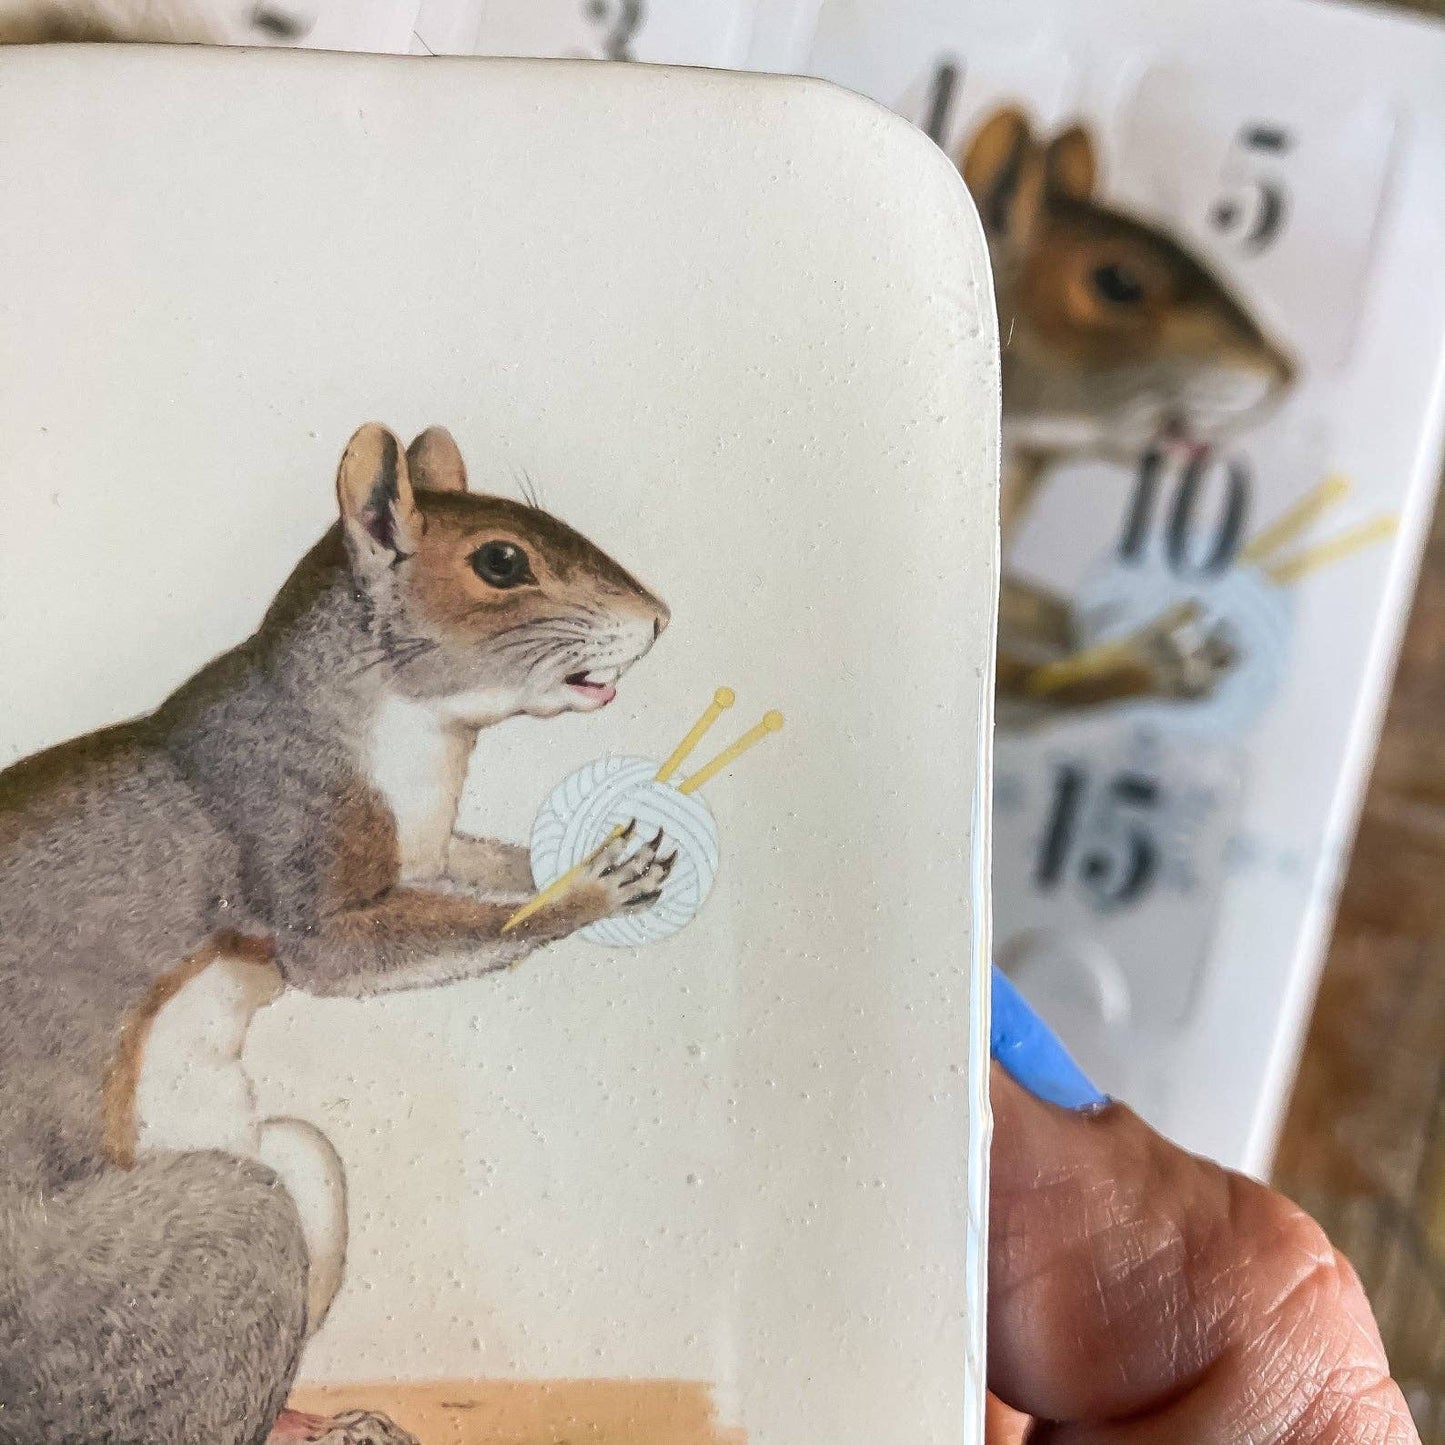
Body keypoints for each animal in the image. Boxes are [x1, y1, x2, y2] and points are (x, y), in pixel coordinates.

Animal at [0, 423, 673, 1445]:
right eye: (500, 562)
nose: (659, 618)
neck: (411, 733)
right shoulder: (287, 844)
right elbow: (360, 948)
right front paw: (586, 890)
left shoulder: (420, 848)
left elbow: (479, 872)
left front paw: (572, 861)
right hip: (215, 1242)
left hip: (298, 1167)